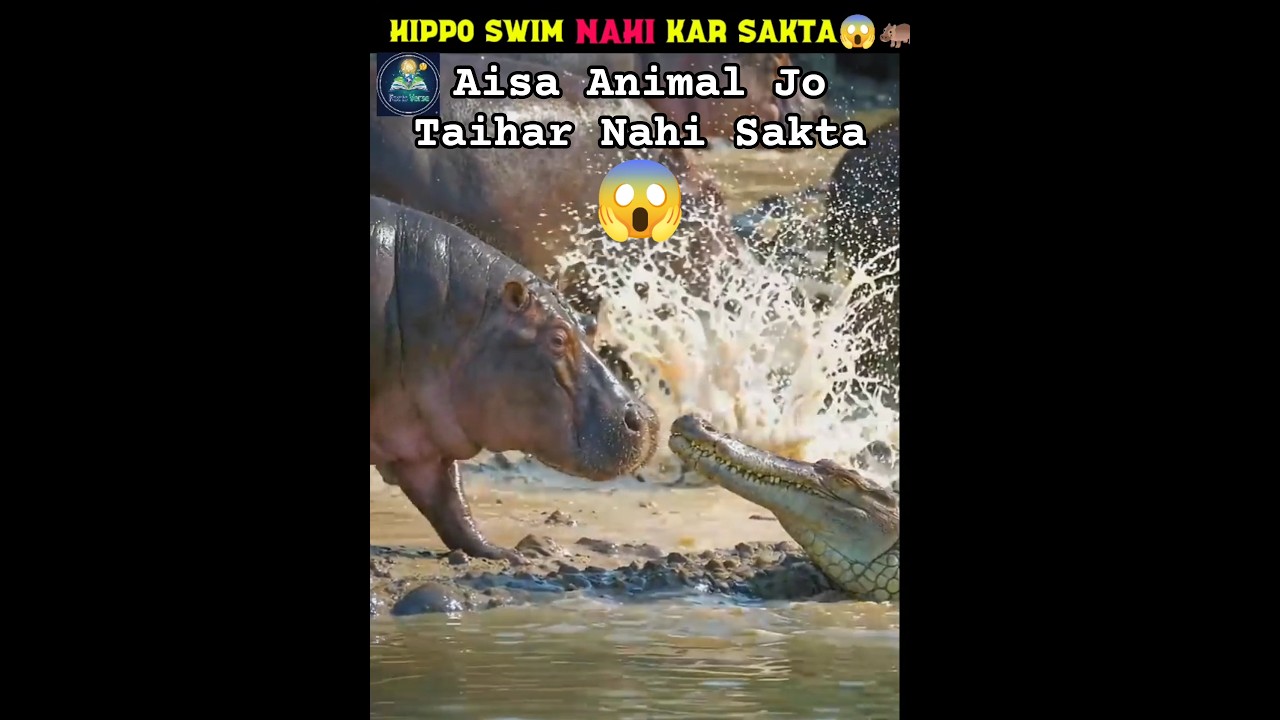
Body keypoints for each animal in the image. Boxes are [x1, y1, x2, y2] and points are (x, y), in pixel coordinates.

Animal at [369, 196, 660, 563]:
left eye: (589, 321)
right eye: (557, 339)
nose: (648, 418)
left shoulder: (421, 436)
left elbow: (450, 502)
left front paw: (507, 554)